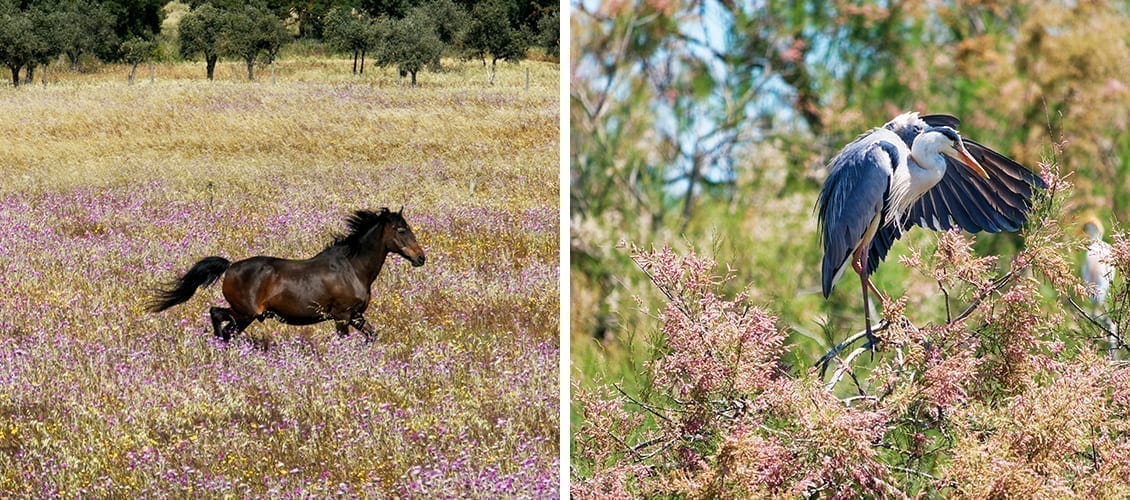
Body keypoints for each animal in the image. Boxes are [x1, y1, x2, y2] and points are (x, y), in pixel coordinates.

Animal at [152, 207, 424, 339]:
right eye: (401, 230)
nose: (421, 258)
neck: (353, 268)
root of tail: (230, 266)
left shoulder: (356, 316)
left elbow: (372, 335)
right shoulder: (342, 316)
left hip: (244, 315)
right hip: (245, 313)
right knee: (217, 315)